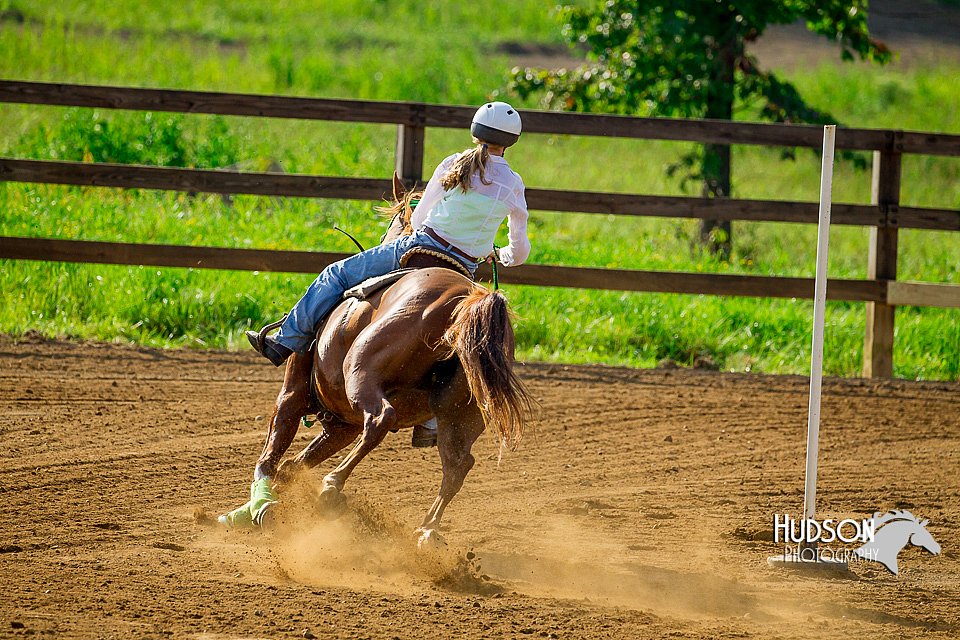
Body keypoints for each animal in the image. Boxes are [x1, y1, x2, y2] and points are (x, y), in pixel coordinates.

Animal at [242, 175, 532, 544]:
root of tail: (466, 301)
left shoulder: (293, 395)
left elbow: (271, 454)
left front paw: (261, 502)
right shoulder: (343, 426)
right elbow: (294, 465)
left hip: (361, 371)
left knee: (381, 419)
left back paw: (332, 488)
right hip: (460, 412)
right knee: (458, 463)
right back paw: (427, 531)